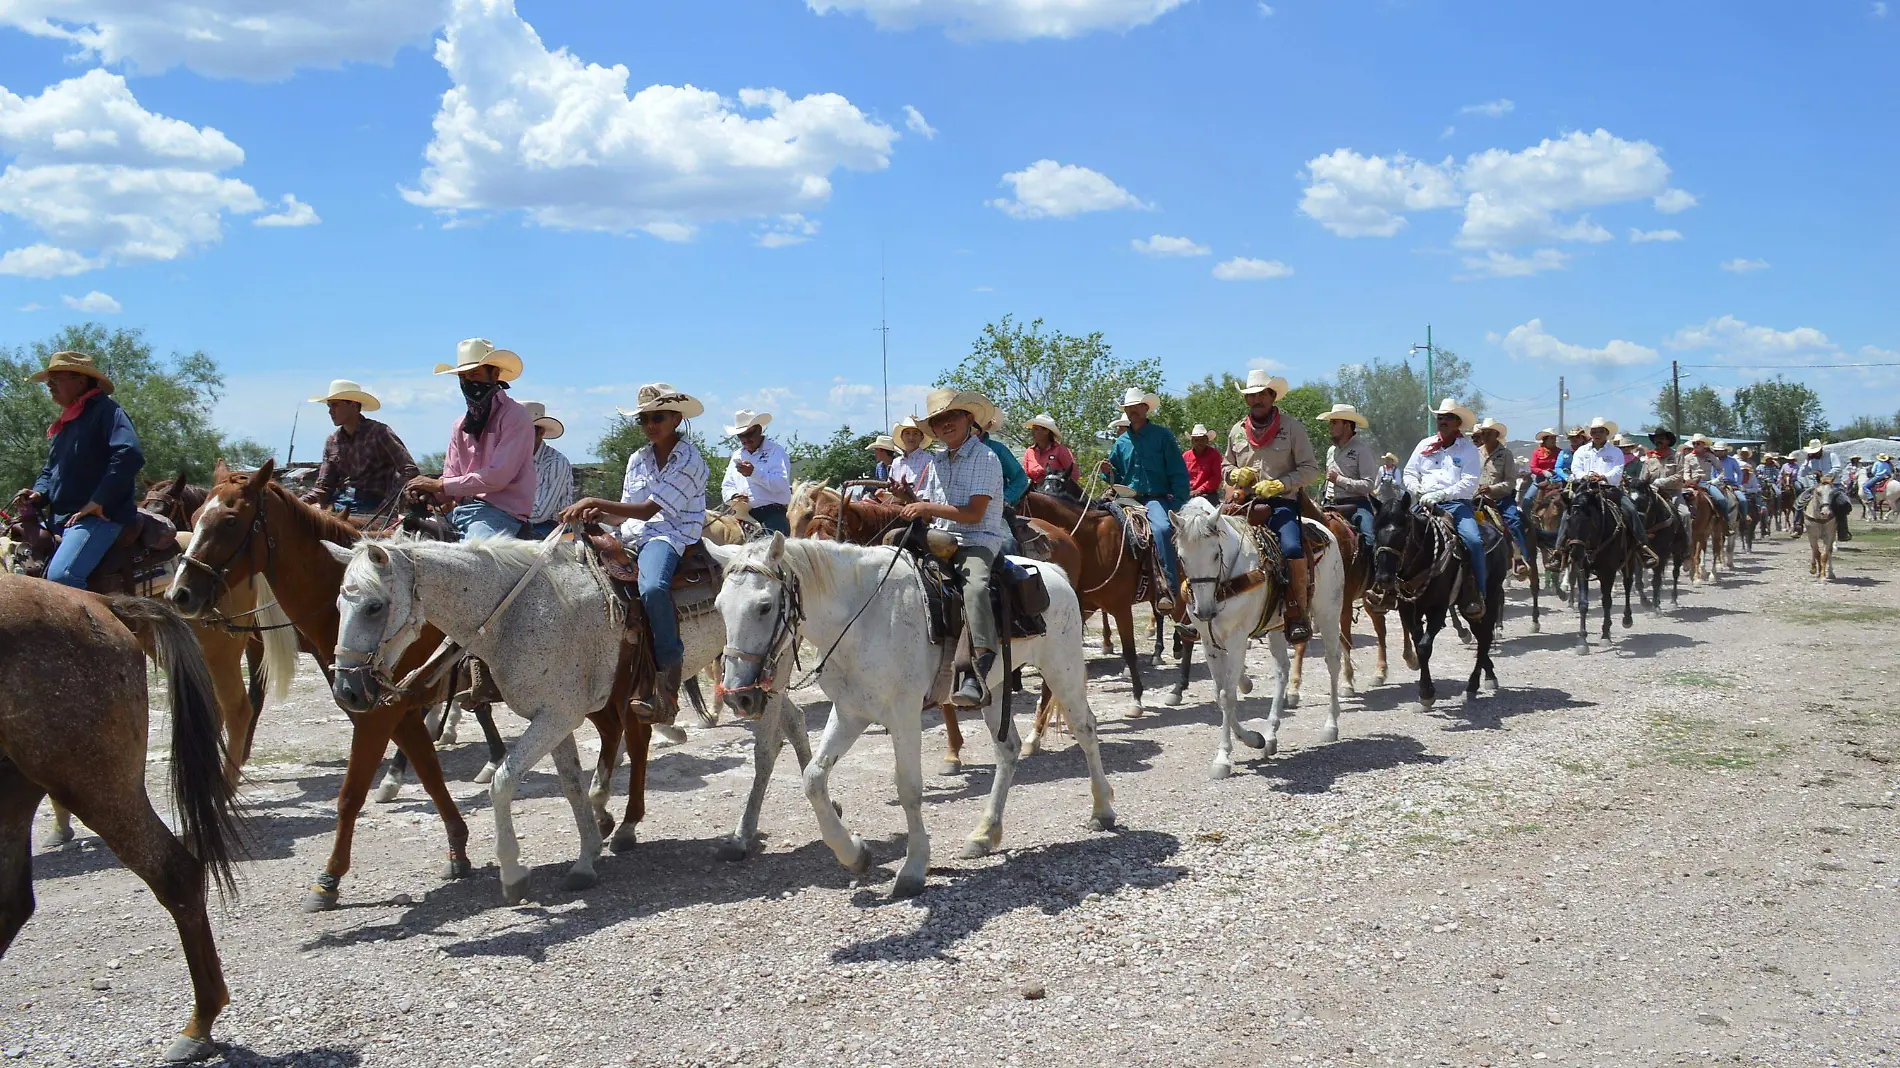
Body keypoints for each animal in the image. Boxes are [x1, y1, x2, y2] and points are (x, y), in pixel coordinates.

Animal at [706, 528, 1117, 893]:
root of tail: (1054, 573)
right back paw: (984, 834)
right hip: (995, 686)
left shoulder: (903, 715)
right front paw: (854, 854)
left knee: (1085, 729)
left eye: (764, 606)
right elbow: (813, 779)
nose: (738, 697)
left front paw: (913, 868)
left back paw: (1102, 811)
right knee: (1008, 750)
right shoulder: (850, 712)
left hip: (1062, 668)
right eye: (718, 608)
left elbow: (908, 788)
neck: (863, 619)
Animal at [1162, 494, 1345, 779]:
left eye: (1216, 554)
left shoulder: (1237, 639)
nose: (1204, 610)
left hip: (1328, 612)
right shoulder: (1209, 642)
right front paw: (1253, 738)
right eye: (1182, 557)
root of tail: (1323, 529)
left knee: (1333, 661)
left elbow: (1228, 696)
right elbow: (1221, 695)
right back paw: (1270, 736)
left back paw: (1330, 725)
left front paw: (1223, 759)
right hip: (1279, 627)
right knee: (1282, 670)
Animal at [1375, 494, 1504, 706]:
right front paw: (1426, 692)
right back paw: (1487, 675)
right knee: (1481, 636)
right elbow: (1418, 644)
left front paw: (1426, 694)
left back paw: (1474, 684)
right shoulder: (1407, 611)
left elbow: (1424, 647)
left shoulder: (1437, 609)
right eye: (1375, 532)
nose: (1384, 578)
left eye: (1403, 534)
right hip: (1466, 605)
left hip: (1490, 597)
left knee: (1485, 636)